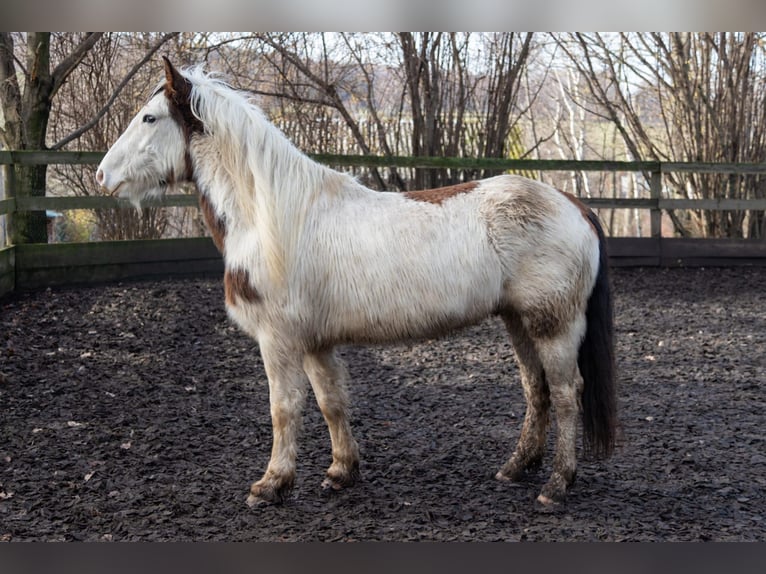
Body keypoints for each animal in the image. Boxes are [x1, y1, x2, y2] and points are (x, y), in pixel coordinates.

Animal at [97, 57, 616, 508]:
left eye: (149, 117)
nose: (103, 175)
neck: (273, 217)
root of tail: (575, 204)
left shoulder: (279, 341)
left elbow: (283, 409)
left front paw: (271, 484)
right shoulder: (315, 342)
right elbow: (331, 403)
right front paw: (341, 472)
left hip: (553, 324)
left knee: (566, 394)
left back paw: (556, 484)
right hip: (517, 321)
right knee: (536, 389)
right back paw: (515, 468)